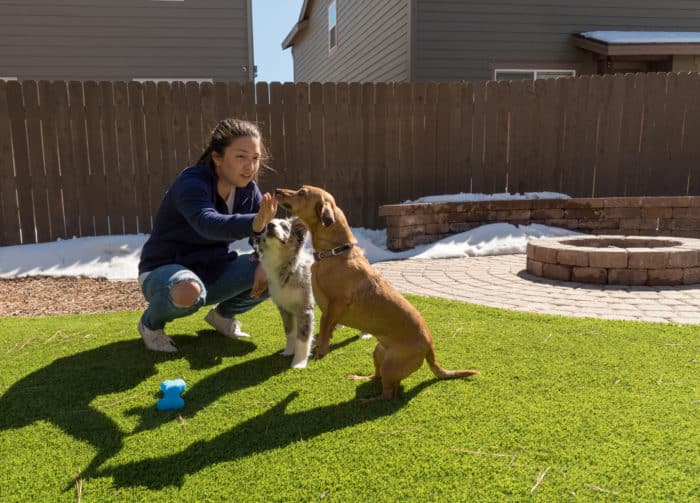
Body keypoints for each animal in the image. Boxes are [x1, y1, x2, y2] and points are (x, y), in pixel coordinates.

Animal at [253, 219, 314, 368]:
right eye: (266, 226)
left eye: (285, 226)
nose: (270, 226)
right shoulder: (284, 308)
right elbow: (290, 332)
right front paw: (289, 352)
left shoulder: (305, 309)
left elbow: (303, 337)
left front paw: (299, 362)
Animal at [276, 186, 478, 402]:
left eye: (302, 192)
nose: (278, 190)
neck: (335, 252)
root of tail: (430, 347)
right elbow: (326, 326)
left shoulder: (338, 303)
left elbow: (324, 323)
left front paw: (321, 348)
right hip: (379, 354)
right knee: (377, 377)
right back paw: (360, 378)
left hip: (391, 366)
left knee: (388, 394)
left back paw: (367, 400)